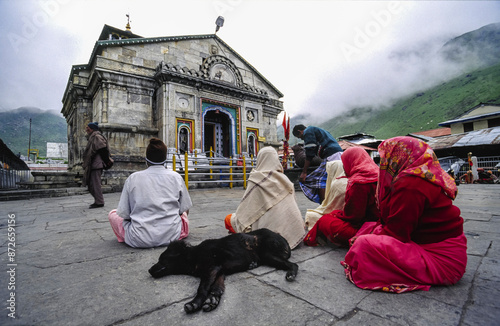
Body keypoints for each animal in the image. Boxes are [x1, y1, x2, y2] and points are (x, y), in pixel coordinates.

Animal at [148, 227, 296, 314]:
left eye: (161, 259)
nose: (149, 270)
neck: (193, 255)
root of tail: (284, 239)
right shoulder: (219, 272)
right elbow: (216, 289)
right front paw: (213, 300)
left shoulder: (211, 268)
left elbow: (202, 289)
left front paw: (195, 303)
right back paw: (252, 264)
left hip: (268, 254)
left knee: (294, 264)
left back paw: (291, 274)